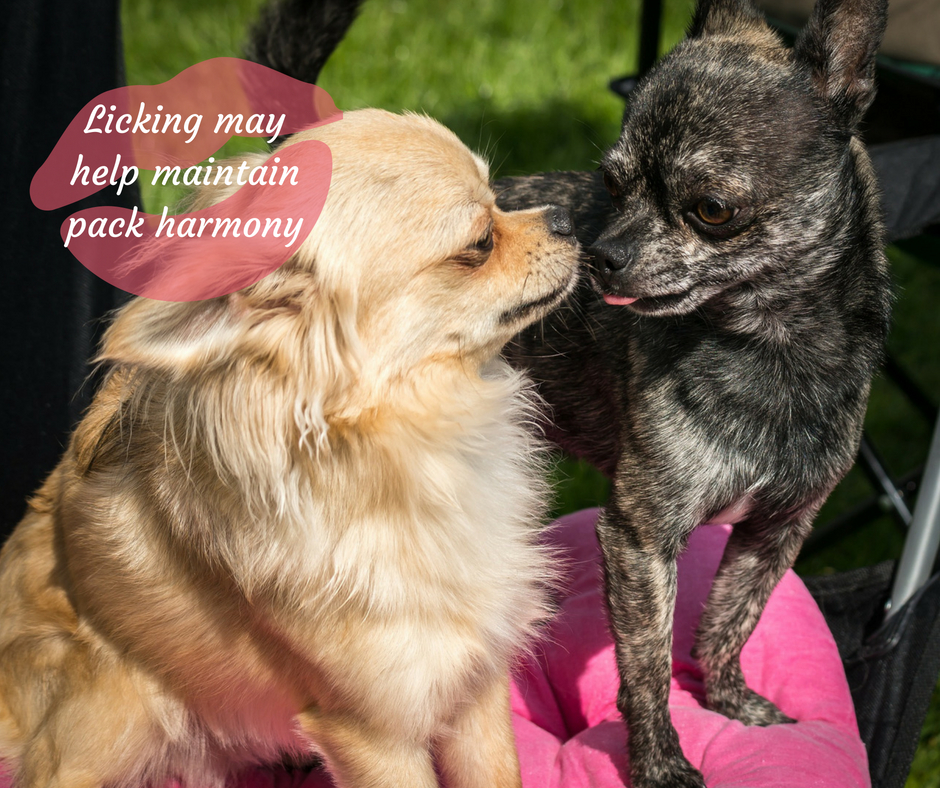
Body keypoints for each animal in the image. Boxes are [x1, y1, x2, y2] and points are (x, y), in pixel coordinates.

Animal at [0, 109, 580, 788]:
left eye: (500, 195)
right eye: (481, 242)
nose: (566, 217)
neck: (426, 439)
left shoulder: (475, 685)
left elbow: (496, 774)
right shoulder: (375, 732)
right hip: (118, 712)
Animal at [248, 0, 888, 784]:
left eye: (711, 209)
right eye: (610, 186)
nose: (600, 256)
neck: (769, 347)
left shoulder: (776, 533)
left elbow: (728, 625)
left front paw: (733, 703)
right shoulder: (641, 539)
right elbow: (645, 670)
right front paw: (659, 763)